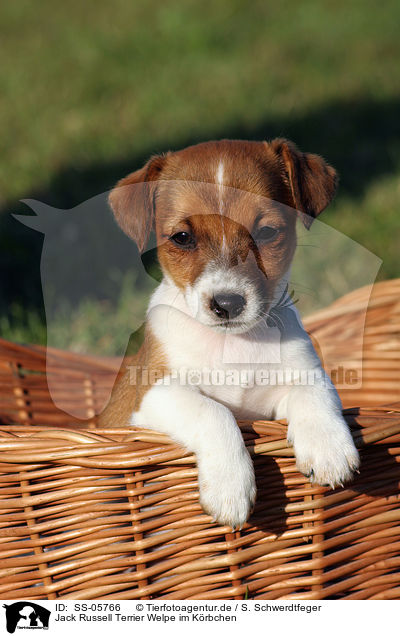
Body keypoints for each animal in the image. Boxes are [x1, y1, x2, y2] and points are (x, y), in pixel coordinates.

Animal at [99, 138, 360, 528]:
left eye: (266, 233)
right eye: (182, 237)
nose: (228, 303)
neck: (235, 344)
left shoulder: (294, 384)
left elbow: (313, 390)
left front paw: (328, 446)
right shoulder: (151, 395)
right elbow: (213, 411)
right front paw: (229, 487)